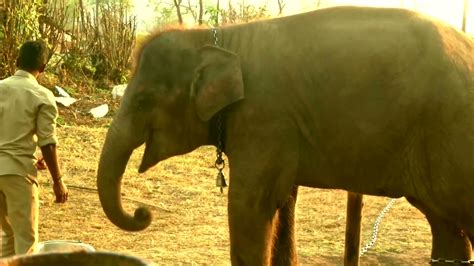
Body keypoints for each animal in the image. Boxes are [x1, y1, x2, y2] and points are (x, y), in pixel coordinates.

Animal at [97, 5, 474, 264]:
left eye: (144, 100)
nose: (142, 213)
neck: (215, 37)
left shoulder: (263, 118)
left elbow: (249, 206)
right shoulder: (280, 130)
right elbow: (283, 201)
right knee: (446, 226)